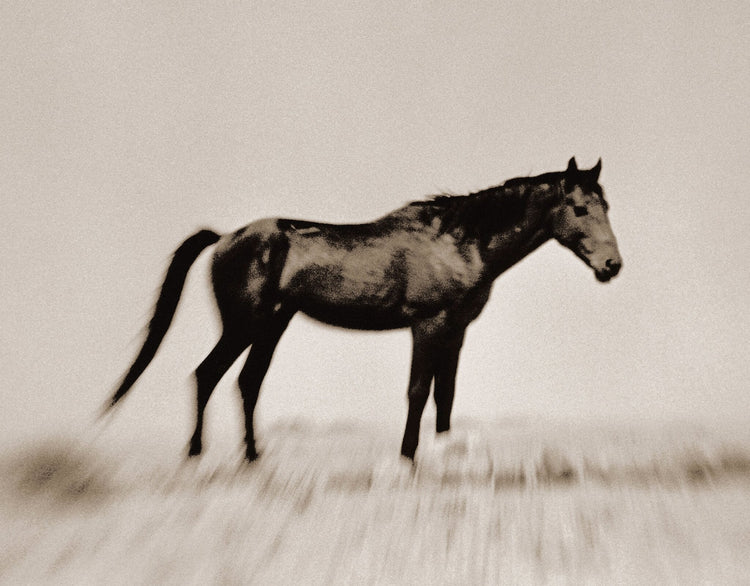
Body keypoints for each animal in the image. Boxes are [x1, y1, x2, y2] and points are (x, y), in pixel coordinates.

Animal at [106, 157, 622, 462]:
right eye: (579, 208)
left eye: (607, 206)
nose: (612, 266)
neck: (457, 241)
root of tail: (227, 236)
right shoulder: (427, 325)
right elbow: (418, 390)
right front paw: (408, 457)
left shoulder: (456, 330)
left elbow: (446, 392)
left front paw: (445, 451)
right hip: (243, 324)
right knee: (207, 374)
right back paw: (197, 456)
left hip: (272, 324)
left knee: (247, 382)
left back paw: (253, 458)